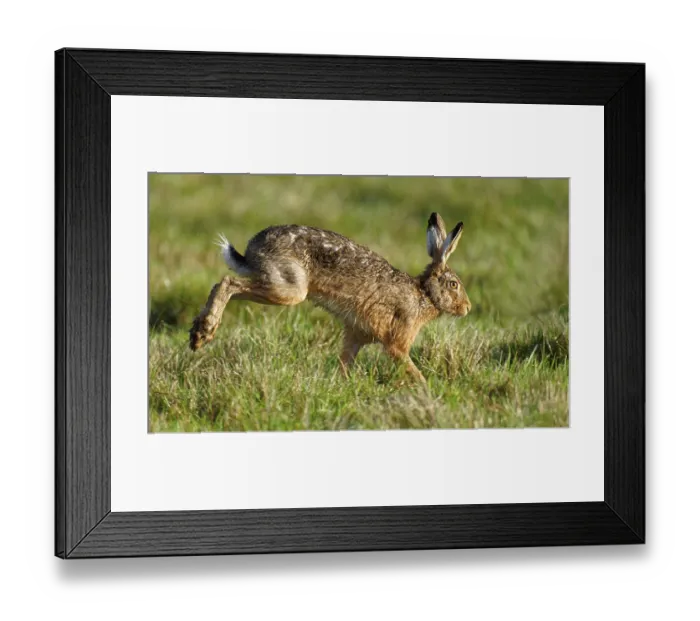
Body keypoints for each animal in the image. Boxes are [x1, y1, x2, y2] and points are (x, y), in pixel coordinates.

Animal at [189, 212, 471, 383]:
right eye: (454, 284)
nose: (467, 308)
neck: (425, 294)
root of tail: (252, 249)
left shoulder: (356, 334)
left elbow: (346, 361)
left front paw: (342, 384)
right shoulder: (398, 338)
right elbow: (406, 363)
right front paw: (426, 388)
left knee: (224, 284)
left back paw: (197, 333)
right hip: (288, 288)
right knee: (228, 283)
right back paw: (204, 332)